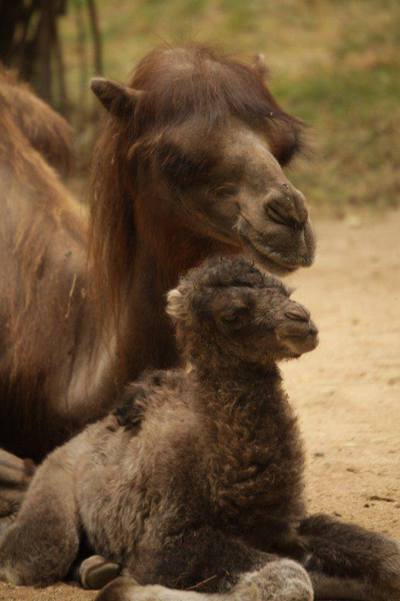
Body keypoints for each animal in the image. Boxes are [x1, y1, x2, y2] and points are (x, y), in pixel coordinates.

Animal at [0, 258, 400, 600]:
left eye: (285, 290)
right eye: (232, 313)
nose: (301, 320)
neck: (221, 468)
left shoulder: (284, 527)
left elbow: (386, 556)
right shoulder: (168, 544)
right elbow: (289, 578)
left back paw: (96, 568)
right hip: (53, 492)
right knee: (34, 556)